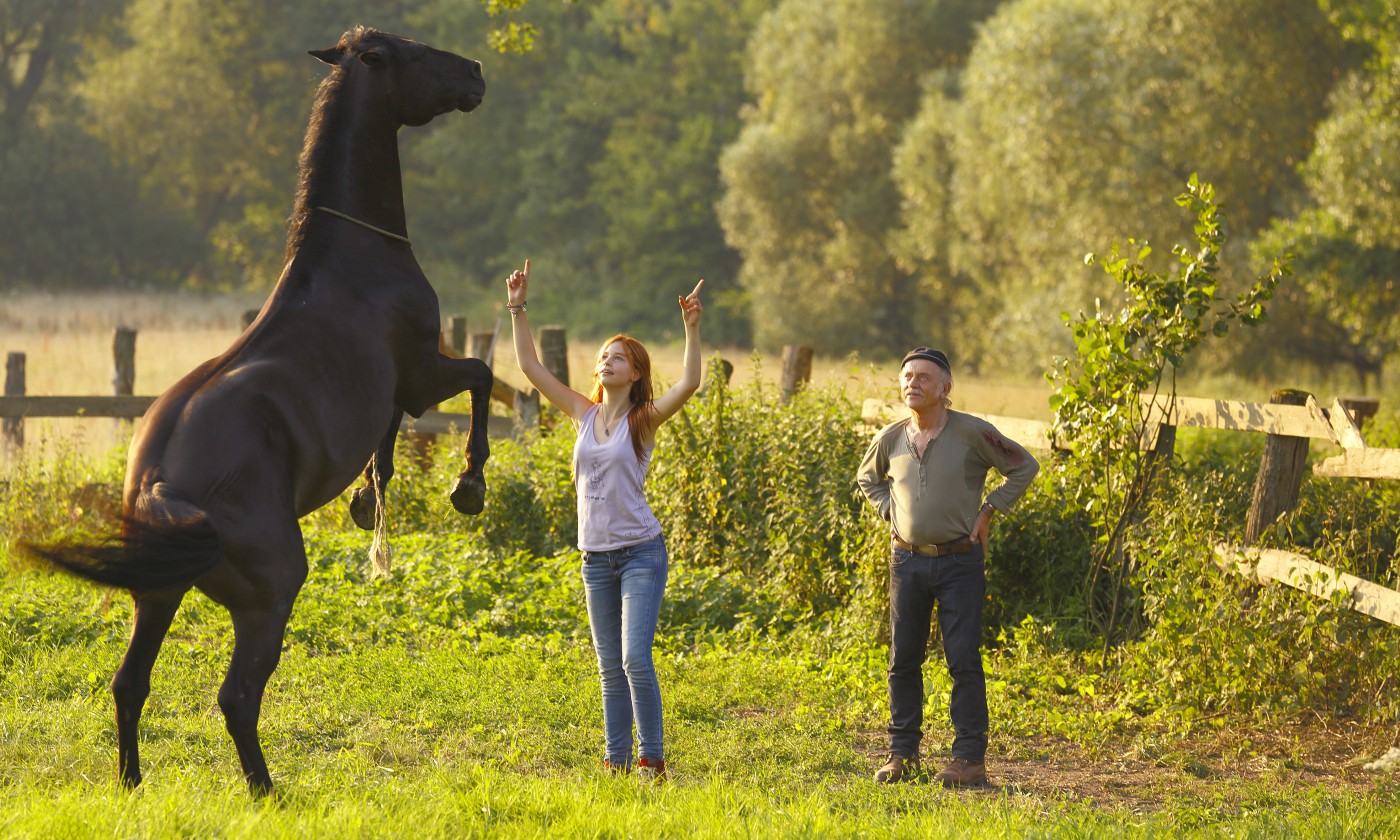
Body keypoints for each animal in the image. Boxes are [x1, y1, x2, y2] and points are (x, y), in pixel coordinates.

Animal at [21, 29, 492, 795]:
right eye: (413, 51)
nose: (475, 73)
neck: (353, 259)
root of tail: (162, 486)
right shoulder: (424, 372)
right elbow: (481, 378)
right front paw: (468, 485)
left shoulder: (395, 391)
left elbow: (388, 438)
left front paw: (369, 499)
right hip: (269, 594)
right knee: (237, 696)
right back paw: (268, 793)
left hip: (157, 596)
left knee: (128, 685)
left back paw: (133, 784)